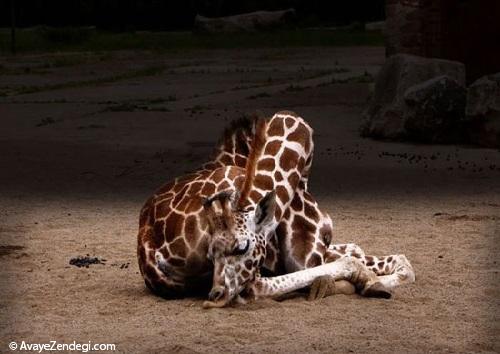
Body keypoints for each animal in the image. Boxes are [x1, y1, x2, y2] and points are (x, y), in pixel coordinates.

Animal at [137, 110, 414, 306]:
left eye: (240, 248)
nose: (216, 294)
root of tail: (149, 248)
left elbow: (362, 250)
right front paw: (371, 281)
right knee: (261, 286)